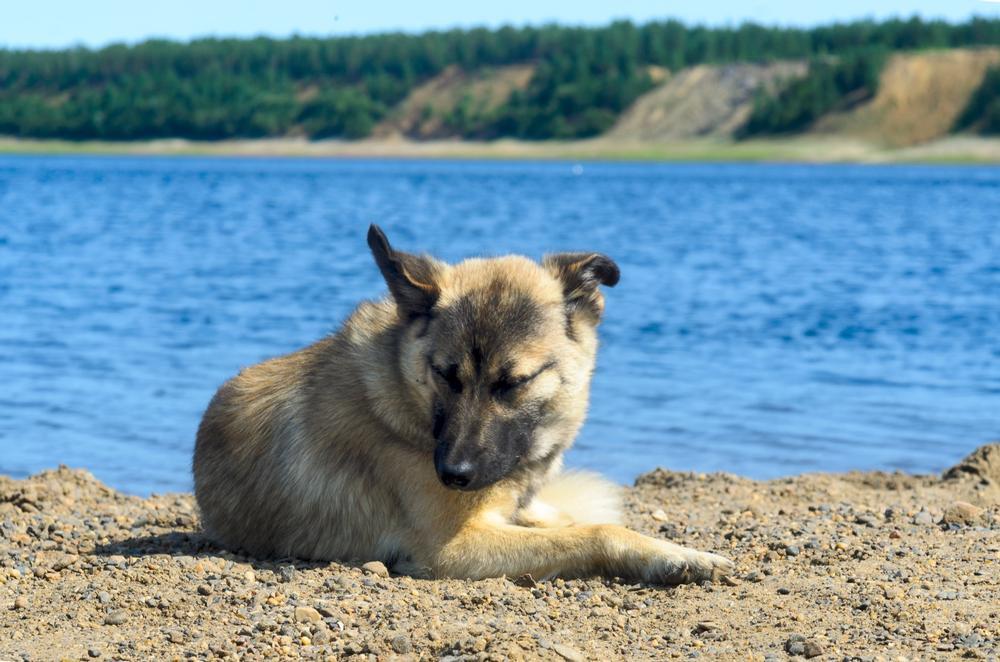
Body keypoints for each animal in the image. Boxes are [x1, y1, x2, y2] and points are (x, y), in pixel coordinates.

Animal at [193, 225, 733, 583]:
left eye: (513, 383)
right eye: (446, 376)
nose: (453, 475)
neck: (404, 394)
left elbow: (580, 523)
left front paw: (673, 548)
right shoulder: (455, 548)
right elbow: (595, 532)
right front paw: (673, 556)